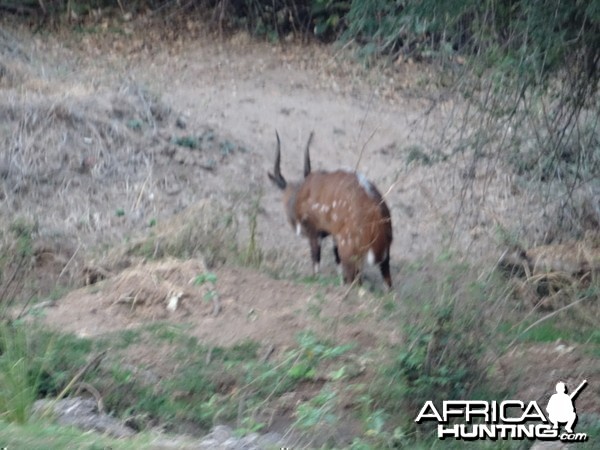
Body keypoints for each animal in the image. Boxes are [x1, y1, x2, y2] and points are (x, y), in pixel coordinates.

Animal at [268, 130, 394, 288]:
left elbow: (316, 263)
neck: (299, 194)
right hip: (384, 255)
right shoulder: (334, 237)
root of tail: (378, 213)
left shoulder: (314, 232)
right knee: (388, 284)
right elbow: (337, 265)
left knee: (355, 281)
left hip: (349, 250)